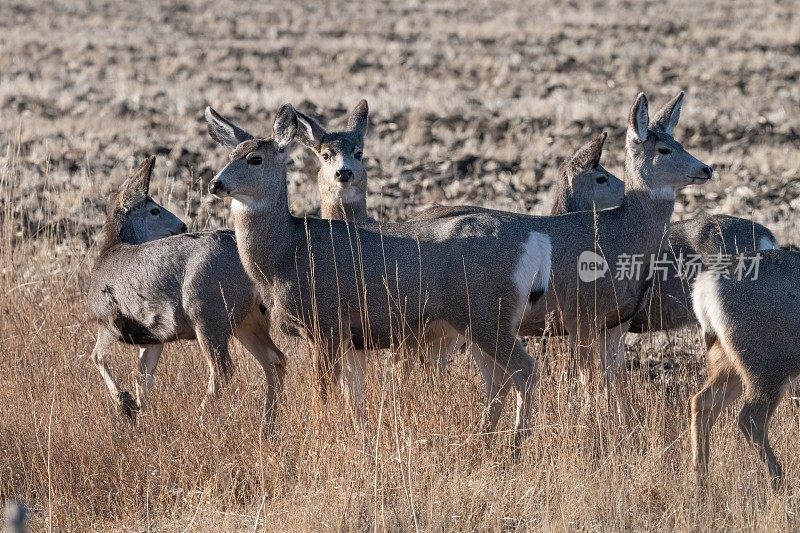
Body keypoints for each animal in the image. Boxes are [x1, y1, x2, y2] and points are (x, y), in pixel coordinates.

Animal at [86, 155, 286, 424]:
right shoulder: (153, 335)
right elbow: (143, 376)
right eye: (155, 210)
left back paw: (201, 418)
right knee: (275, 359)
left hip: (208, 313)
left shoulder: (109, 319)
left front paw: (125, 404)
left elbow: (98, 357)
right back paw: (267, 424)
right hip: (247, 318)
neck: (109, 252)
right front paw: (139, 411)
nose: (182, 225)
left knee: (223, 368)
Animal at [692, 249, 796, 490]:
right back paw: (780, 483)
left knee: (702, 402)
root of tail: (704, 287)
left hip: (730, 360)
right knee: (750, 419)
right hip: (770, 363)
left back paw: (701, 484)